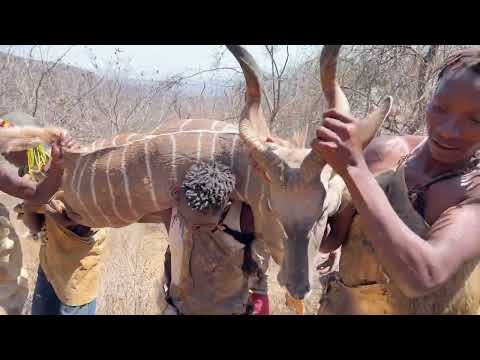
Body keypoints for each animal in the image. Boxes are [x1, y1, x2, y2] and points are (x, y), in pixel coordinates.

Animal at [1, 45, 392, 300]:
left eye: (325, 212)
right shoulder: (181, 216)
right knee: (36, 204)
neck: (239, 165)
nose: (298, 286)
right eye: (271, 208)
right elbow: (180, 276)